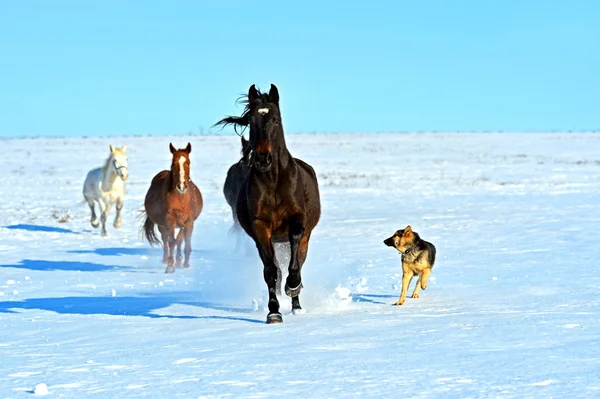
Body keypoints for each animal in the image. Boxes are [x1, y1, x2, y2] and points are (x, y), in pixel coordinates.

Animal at [141, 142, 204, 274]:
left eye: (188, 162)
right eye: (173, 163)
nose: (181, 186)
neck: (181, 200)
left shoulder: (189, 222)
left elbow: (186, 244)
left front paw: (185, 264)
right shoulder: (169, 220)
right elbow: (171, 242)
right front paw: (170, 266)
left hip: (181, 224)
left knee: (179, 240)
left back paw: (179, 261)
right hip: (163, 225)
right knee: (166, 240)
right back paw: (166, 260)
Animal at [214, 84, 322, 324]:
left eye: (276, 119)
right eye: (252, 120)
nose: (263, 159)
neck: (273, 180)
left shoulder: (297, 220)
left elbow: (294, 256)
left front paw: (293, 285)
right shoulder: (261, 227)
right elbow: (271, 271)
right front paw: (273, 312)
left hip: (304, 238)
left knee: (298, 260)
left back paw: (296, 303)